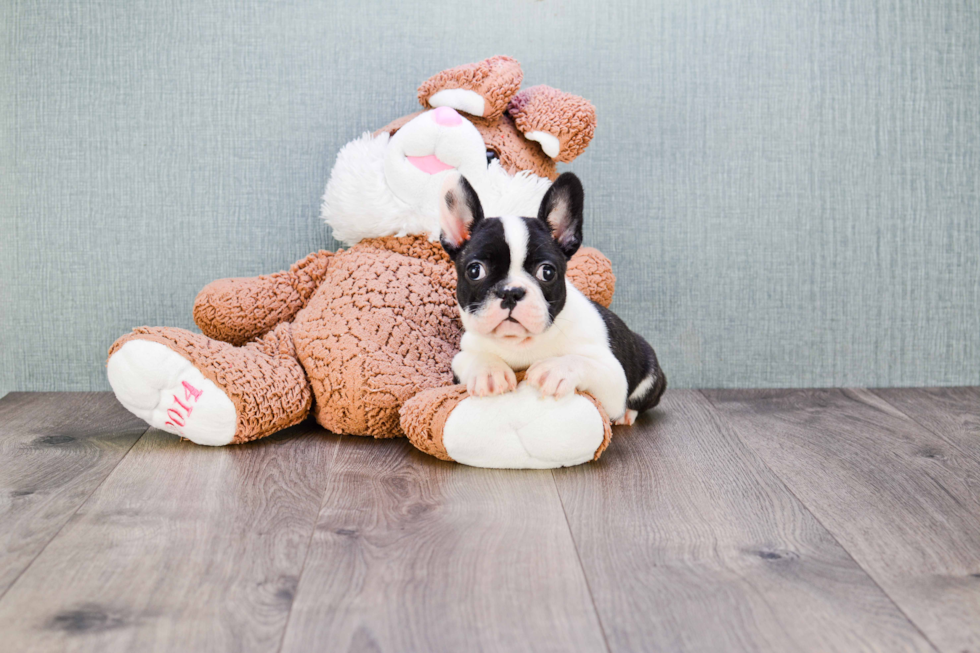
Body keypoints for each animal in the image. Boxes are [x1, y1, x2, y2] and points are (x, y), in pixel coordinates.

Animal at [442, 169, 668, 422]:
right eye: (475, 271)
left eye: (547, 272)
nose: (511, 292)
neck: (521, 343)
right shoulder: (463, 354)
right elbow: (476, 358)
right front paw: (489, 371)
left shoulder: (613, 377)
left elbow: (582, 361)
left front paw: (555, 369)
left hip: (649, 370)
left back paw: (627, 415)